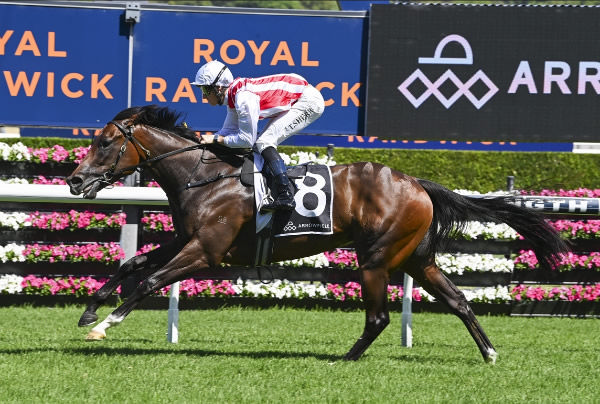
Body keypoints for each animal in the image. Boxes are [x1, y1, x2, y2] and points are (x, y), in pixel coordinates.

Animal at [65, 104, 568, 362]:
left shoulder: (206, 251)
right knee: (458, 300)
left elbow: (149, 280)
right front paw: (89, 312)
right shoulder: (185, 239)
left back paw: (347, 359)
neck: (203, 176)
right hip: (416, 258)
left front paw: (105, 326)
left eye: (105, 142)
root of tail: (417, 183)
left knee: (379, 317)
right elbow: (132, 262)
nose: (74, 180)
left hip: (377, 257)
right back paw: (489, 353)